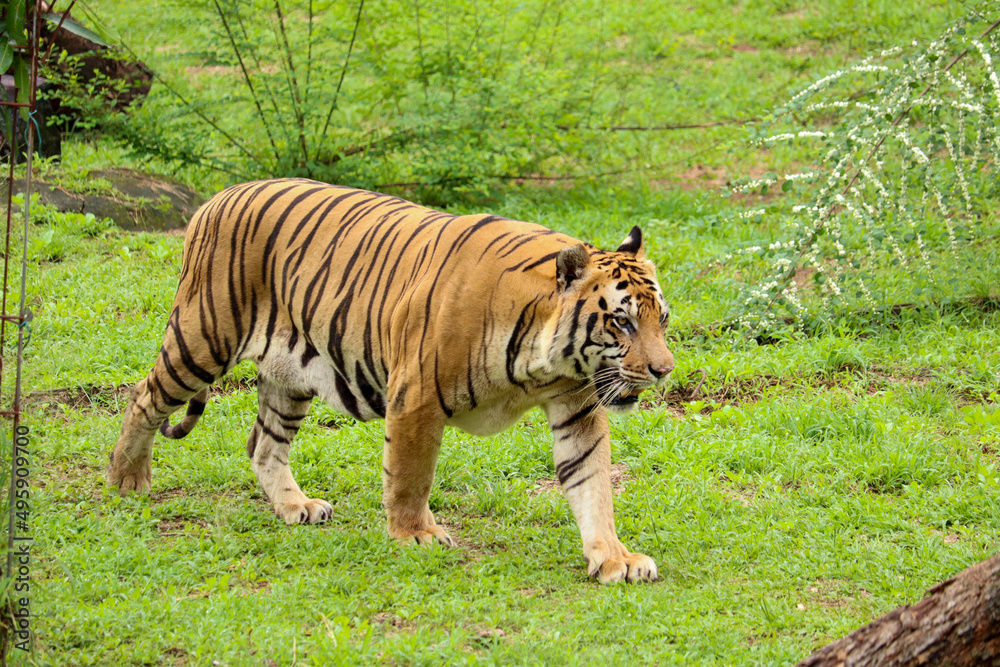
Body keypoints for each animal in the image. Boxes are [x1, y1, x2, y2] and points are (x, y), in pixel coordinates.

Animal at [108, 178, 675, 584]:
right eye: (621, 322)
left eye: (661, 320)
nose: (664, 370)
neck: (542, 363)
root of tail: (217, 197)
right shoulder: (417, 397)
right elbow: (410, 475)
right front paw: (415, 534)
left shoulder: (578, 409)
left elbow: (592, 485)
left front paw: (615, 557)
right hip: (202, 340)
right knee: (144, 397)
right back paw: (126, 478)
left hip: (289, 374)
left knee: (263, 444)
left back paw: (296, 506)